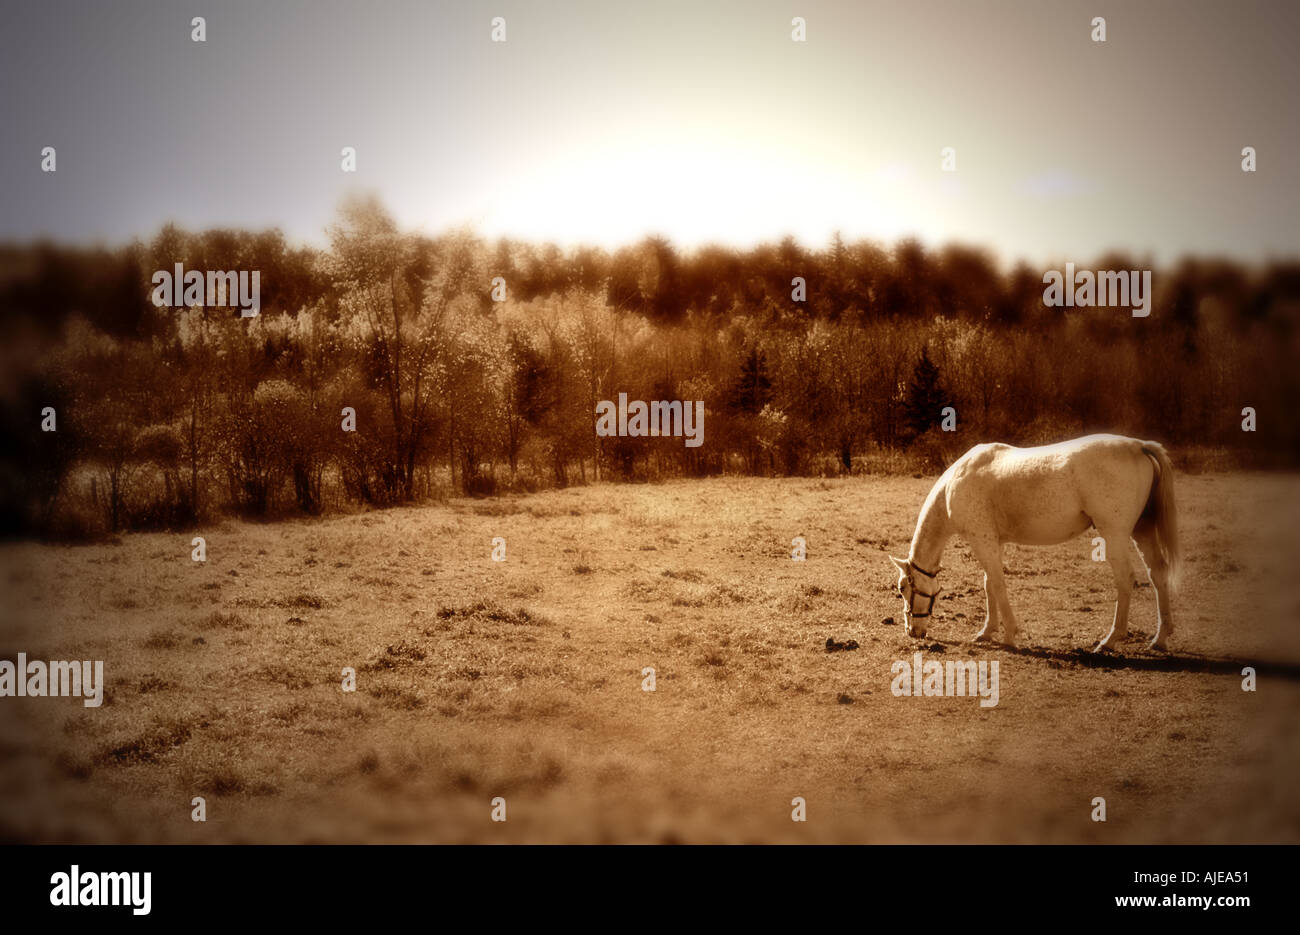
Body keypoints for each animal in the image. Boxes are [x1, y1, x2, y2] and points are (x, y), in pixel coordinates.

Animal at [894, 436, 1180, 650]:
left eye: (903, 589)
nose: (912, 631)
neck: (955, 484)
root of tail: (1138, 445)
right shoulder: (993, 542)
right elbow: (989, 584)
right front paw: (987, 632)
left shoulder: (981, 540)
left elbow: (997, 584)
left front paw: (1009, 635)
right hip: (1142, 530)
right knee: (1158, 573)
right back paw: (1159, 638)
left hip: (1114, 533)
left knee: (1125, 578)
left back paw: (1109, 641)